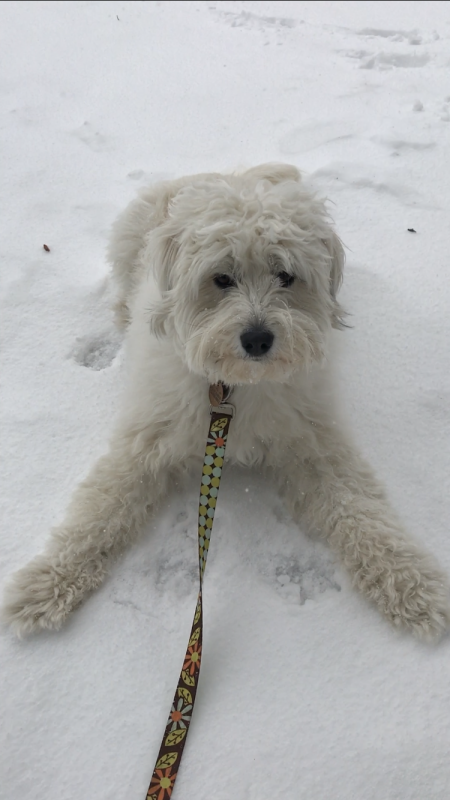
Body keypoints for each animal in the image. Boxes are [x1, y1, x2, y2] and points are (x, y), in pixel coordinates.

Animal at [2, 162, 446, 636]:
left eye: (286, 275)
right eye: (221, 278)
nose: (257, 339)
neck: (236, 386)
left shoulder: (311, 440)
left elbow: (360, 507)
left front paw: (412, 585)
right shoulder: (148, 440)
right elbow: (99, 510)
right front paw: (44, 585)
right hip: (126, 241)